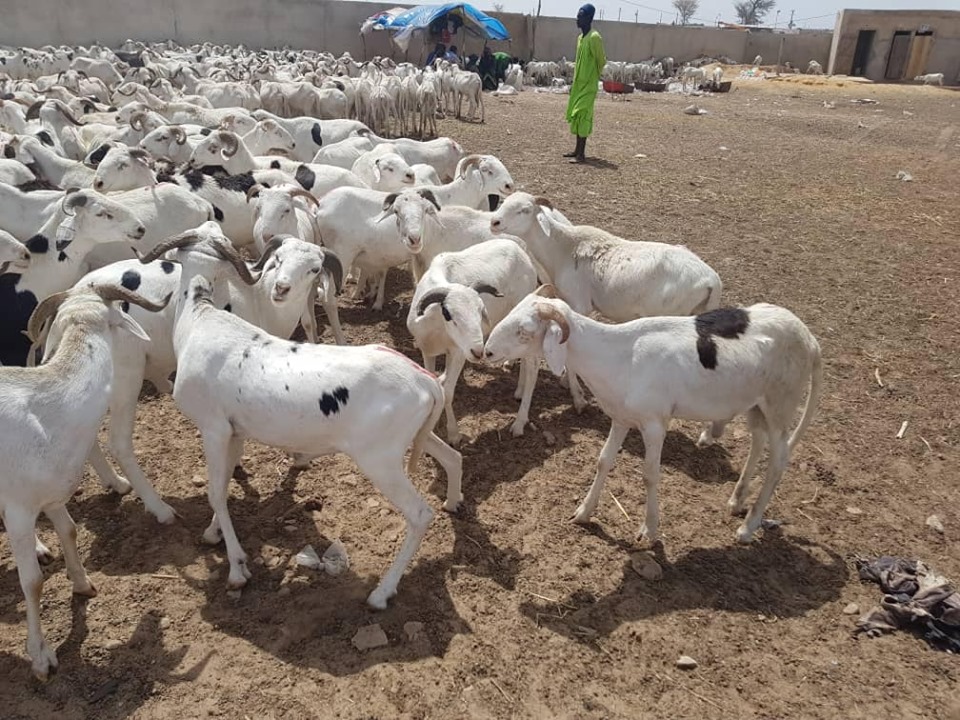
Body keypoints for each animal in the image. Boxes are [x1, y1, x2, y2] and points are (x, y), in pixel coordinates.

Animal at [1, 282, 167, 680]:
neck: (47, 411)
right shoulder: (19, 508)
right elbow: (32, 582)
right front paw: (41, 657)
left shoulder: (52, 496)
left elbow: (71, 530)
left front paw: (83, 584)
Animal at [66, 224, 344, 523]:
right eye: (278, 259)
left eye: (314, 269)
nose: (282, 288)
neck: (259, 297)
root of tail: (73, 301)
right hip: (126, 376)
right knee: (118, 442)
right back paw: (160, 509)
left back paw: (115, 483)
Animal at [164, 245, 462, 608]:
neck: (200, 320)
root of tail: (424, 380)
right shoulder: (234, 432)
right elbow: (223, 484)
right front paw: (212, 533)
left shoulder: (214, 429)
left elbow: (216, 493)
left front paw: (236, 568)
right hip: (418, 436)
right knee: (453, 458)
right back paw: (453, 502)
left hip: (381, 460)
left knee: (419, 514)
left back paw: (381, 593)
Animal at [408, 238, 541, 443]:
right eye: (448, 314)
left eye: (480, 311)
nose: (479, 352)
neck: (436, 326)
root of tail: (517, 247)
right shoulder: (428, 351)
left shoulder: (459, 353)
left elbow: (448, 393)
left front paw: (453, 434)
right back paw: (518, 390)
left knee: (533, 366)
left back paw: (519, 423)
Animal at [483, 287, 822, 545]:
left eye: (524, 331)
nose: (487, 351)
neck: (618, 355)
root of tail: (808, 337)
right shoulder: (621, 418)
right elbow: (603, 461)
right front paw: (583, 512)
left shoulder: (654, 425)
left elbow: (649, 474)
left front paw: (649, 530)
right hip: (757, 405)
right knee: (758, 443)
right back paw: (737, 500)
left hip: (781, 405)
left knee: (778, 461)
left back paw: (748, 527)